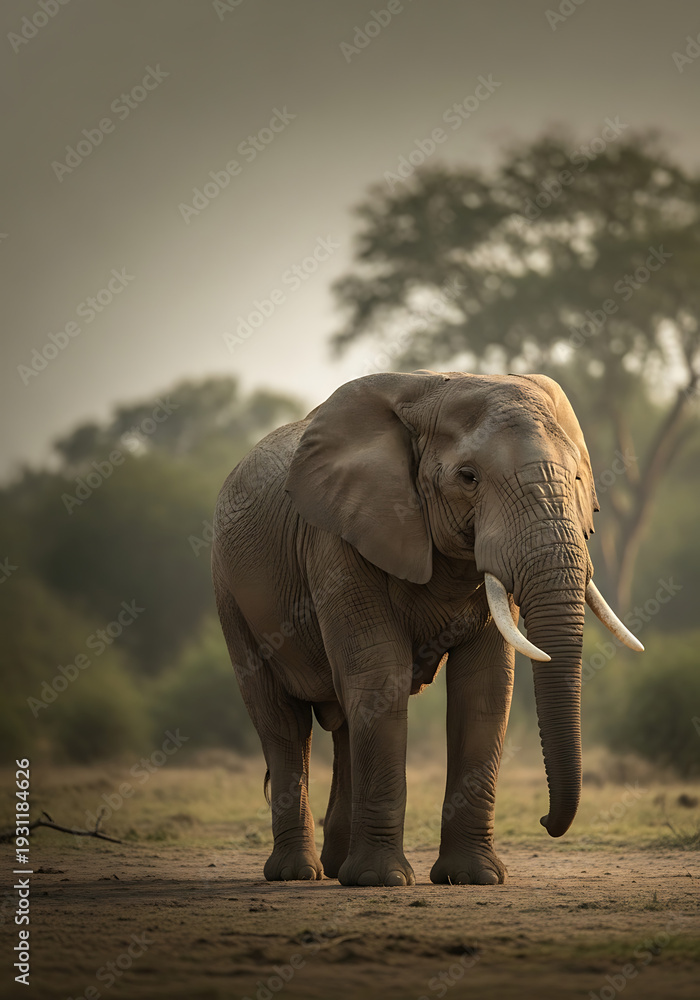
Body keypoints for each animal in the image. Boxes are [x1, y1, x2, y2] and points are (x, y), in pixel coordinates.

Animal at [211, 371, 642, 887]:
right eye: (468, 478)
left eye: (577, 479)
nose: (544, 821)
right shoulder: (337, 539)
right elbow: (380, 673)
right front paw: (382, 881)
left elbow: (485, 688)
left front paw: (473, 878)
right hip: (229, 592)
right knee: (282, 722)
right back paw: (300, 873)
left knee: (343, 721)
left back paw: (338, 868)